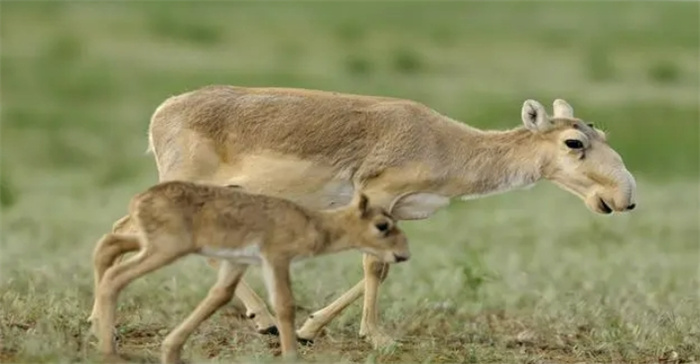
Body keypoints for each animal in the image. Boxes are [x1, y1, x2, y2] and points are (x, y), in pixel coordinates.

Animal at [102, 84, 636, 346]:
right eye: (574, 142)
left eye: (603, 133)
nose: (626, 197)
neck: (447, 144)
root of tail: (162, 112)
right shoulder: (377, 195)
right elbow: (374, 266)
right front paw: (377, 338)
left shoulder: (396, 212)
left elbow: (384, 265)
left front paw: (310, 328)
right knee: (127, 230)